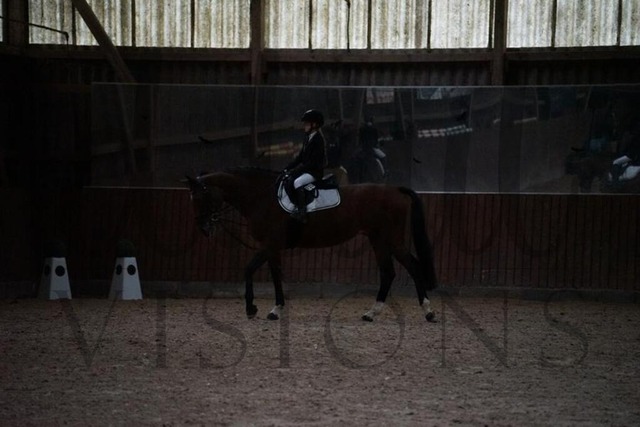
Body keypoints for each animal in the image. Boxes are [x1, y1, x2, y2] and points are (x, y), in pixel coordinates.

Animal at [185, 167, 437, 322]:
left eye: (201, 197)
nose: (204, 228)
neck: (261, 198)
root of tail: (395, 189)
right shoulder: (273, 248)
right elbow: (276, 275)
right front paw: (276, 309)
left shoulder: (269, 244)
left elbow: (249, 269)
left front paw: (251, 308)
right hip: (377, 239)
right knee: (388, 272)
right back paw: (370, 313)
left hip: (391, 239)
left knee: (413, 267)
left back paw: (428, 312)